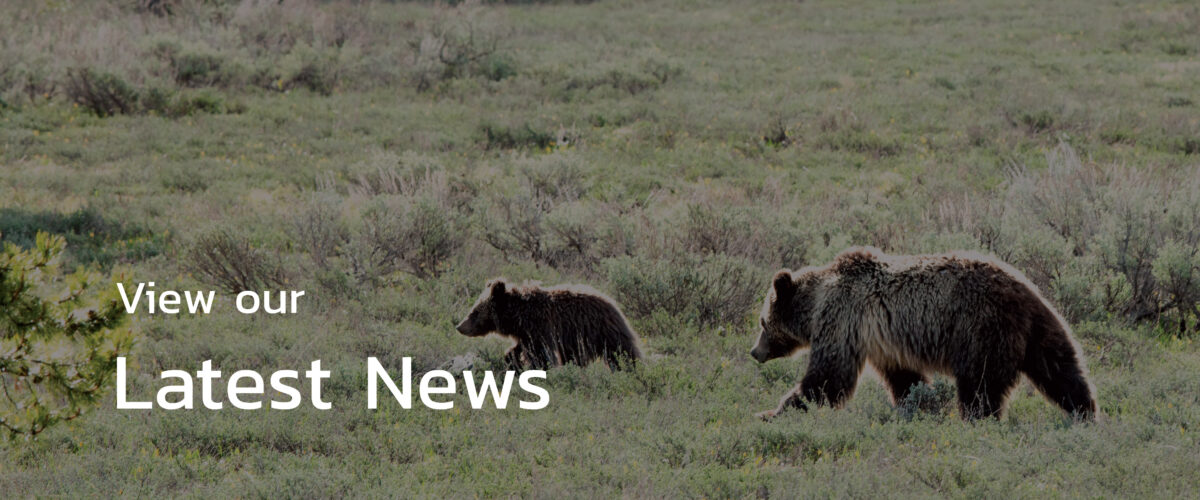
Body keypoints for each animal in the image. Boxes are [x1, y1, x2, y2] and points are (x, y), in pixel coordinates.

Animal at [453, 278, 643, 369]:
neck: (518, 315)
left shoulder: (540, 326)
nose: (460, 327)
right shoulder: (526, 333)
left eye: (475, 311)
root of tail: (613, 304)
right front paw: (511, 359)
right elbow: (520, 349)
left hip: (600, 330)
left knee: (622, 351)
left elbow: (540, 354)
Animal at [748, 245, 1099, 422]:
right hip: (1040, 327)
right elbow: (905, 379)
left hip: (980, 327)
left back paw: (976, 419)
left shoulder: (843, 322)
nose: (755, 351)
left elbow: (828, 379)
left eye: (763, 323)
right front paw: (917, 405)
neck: (817, 303)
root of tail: (1024, 291)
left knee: (980, 383)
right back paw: (1085, 411)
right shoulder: (885, 343)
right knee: (1061, 368)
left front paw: (772, 411)